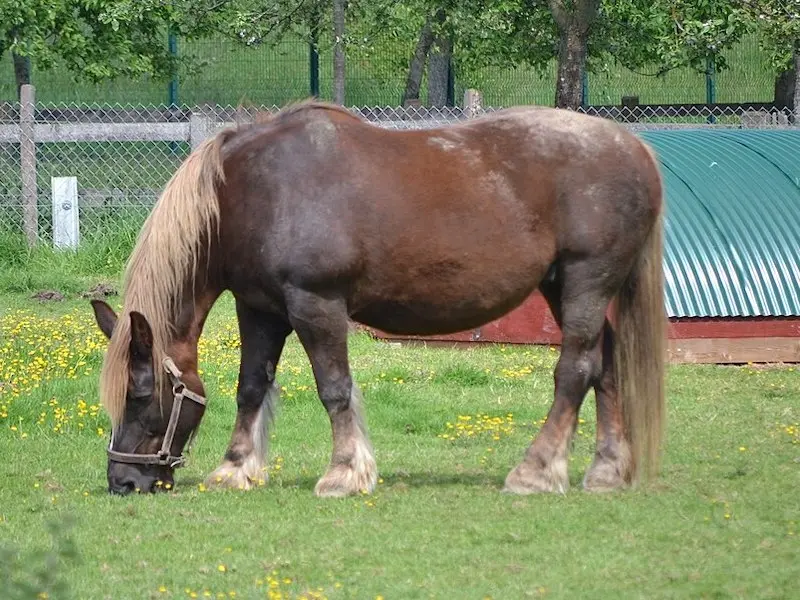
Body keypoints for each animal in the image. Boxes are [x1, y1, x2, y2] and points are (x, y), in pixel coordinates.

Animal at [90, 102, 664, 496]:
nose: (122, 481)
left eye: (140, 394)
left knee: (575, 369)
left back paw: (536, 470)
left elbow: (334, 389)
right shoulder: (259, 309)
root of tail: (634, 148)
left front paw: (344, 472)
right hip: (563, 287)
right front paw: (235, 467)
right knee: (605, 364)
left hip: (586, 281)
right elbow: (250, 385)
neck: (252, 193)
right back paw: (606, 470)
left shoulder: (315, 304)